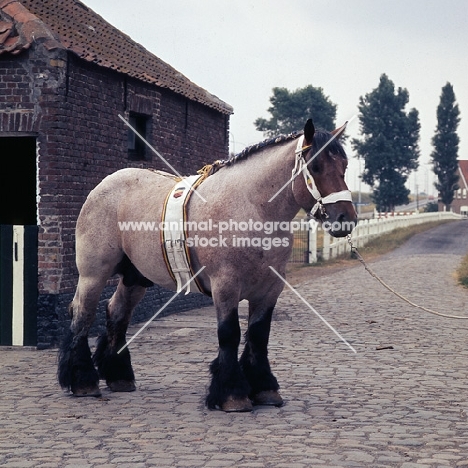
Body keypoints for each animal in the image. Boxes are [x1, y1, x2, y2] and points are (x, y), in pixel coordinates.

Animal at [59, 119, 358, 412]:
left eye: (344, 166)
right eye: (316, 167)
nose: (346, 219)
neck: (251, 208)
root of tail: (103, 186)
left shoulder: (269, 289)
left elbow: (259, 334)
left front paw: (265, 389)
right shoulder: (225, 285)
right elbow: (230, 333)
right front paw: (232, 395)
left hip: (136, 277)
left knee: (117, 311)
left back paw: (119, 376)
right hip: (93, 273)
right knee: (83, 314)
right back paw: (82, 381)